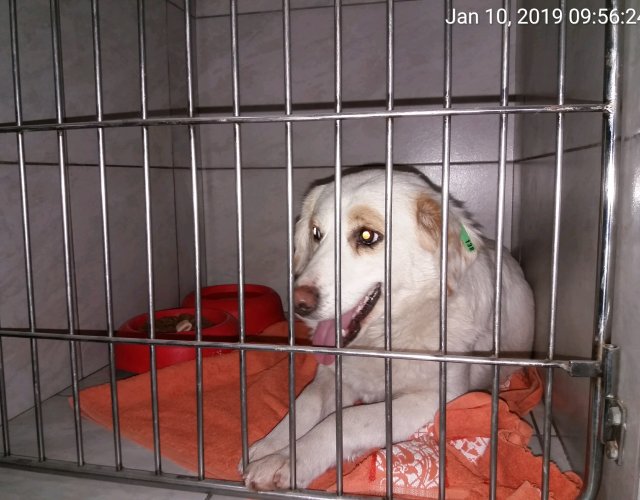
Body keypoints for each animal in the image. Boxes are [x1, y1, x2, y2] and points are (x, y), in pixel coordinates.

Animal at [242, 168, 534, 490]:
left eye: (367, 235)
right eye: (316, 233)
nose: (299, 304)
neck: (384, 338)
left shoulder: (436, 398)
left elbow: (344, 422)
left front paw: (287, 461)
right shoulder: (331, 377)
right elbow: (304, 405)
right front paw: (270, 446)